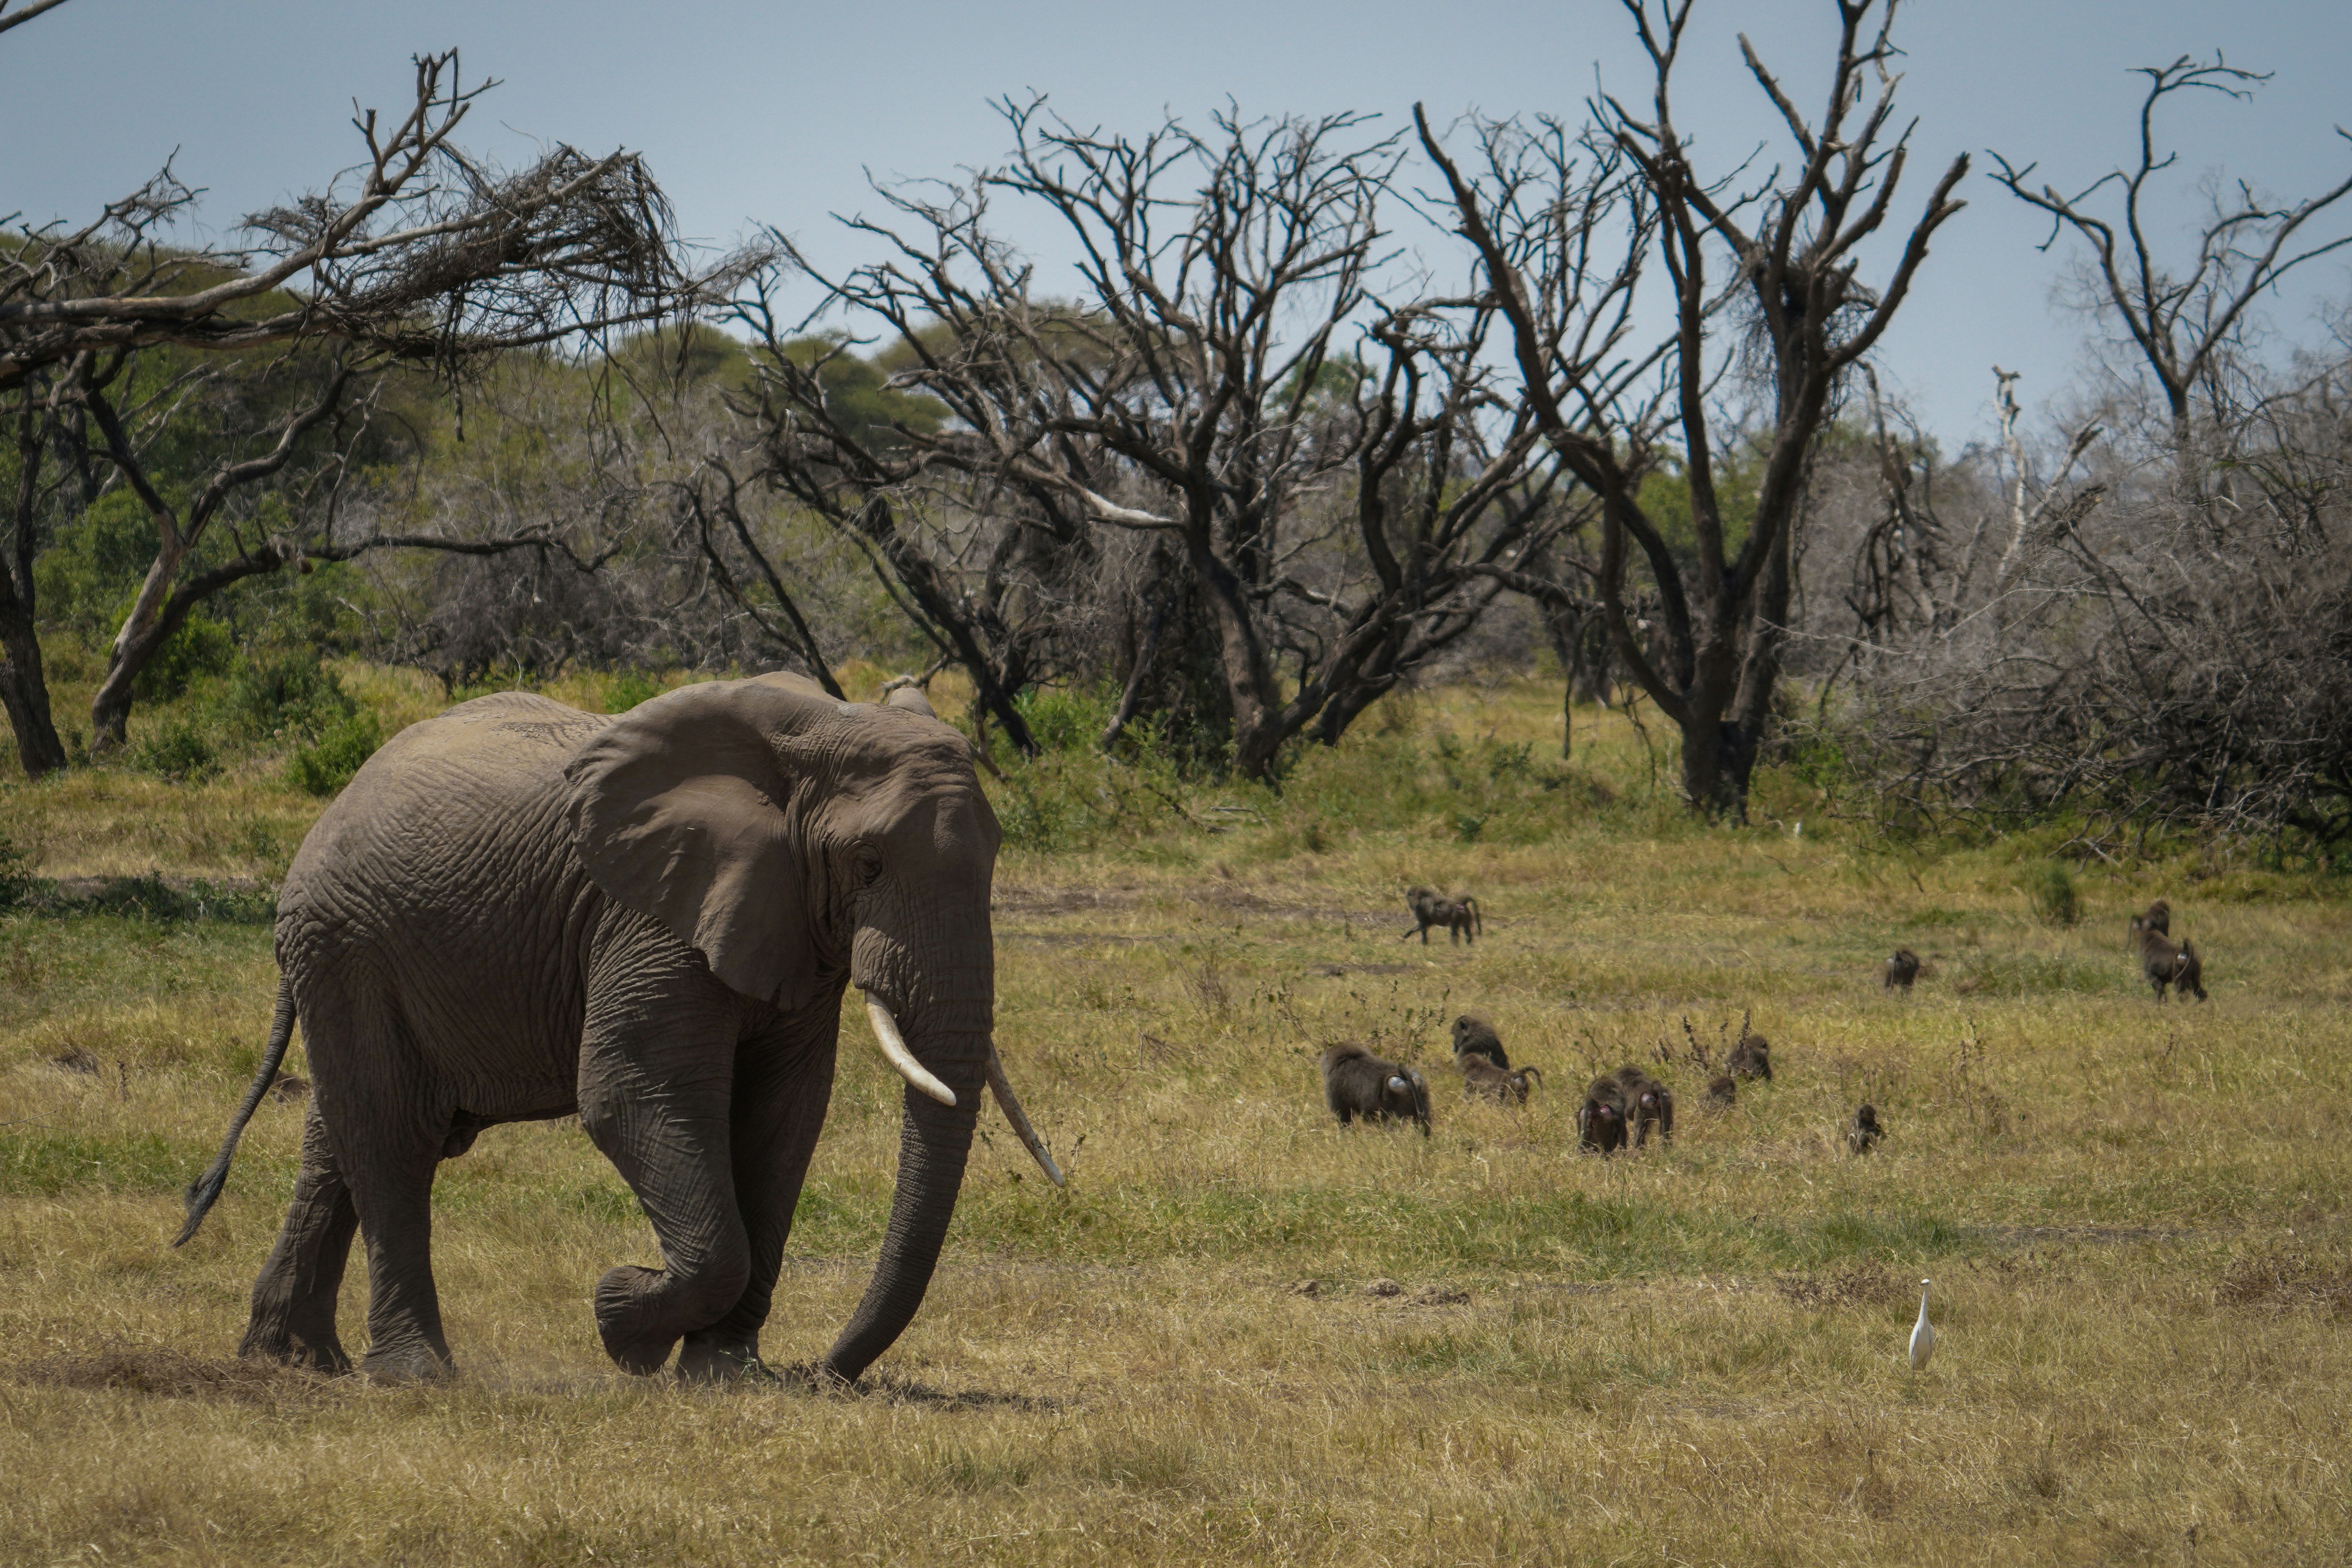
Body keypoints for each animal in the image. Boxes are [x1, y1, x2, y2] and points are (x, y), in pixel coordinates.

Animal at [175, 675, 1060, 1387]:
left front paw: (722, 1375)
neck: (817, 731)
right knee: (392, 1137)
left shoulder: (784, 926)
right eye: (868, 862)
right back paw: (414, 1376)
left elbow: (783, 1116)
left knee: (339, 1135)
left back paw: (294, 1359)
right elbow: (627, 1087)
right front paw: (620, 1318)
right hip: (347, 943)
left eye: (994, 859)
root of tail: (331, 812)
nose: (824, 1374)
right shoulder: (650, 912)